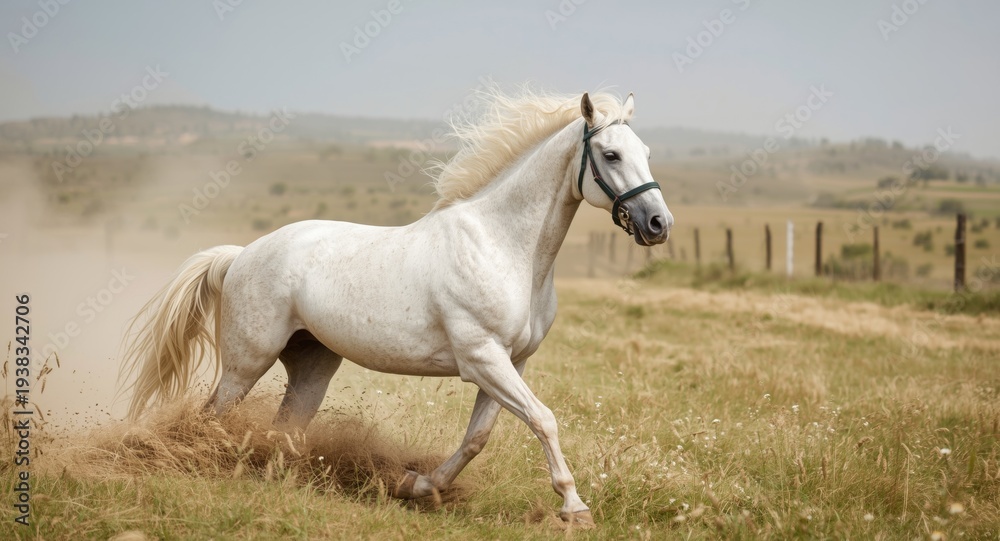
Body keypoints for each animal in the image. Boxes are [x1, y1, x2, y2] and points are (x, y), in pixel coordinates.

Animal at [121, 88, 672, 526]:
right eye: (611, 154)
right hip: (246, 360)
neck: (503, 247)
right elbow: (543, 419)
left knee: (284, 429)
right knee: (213, 414)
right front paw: (575, 508)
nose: (658, 224)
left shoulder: (511, 362)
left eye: (646, 151)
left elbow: (478, 437)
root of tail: (241, 255)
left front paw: (416, 486)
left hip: (312, 365)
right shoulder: (482, 358)